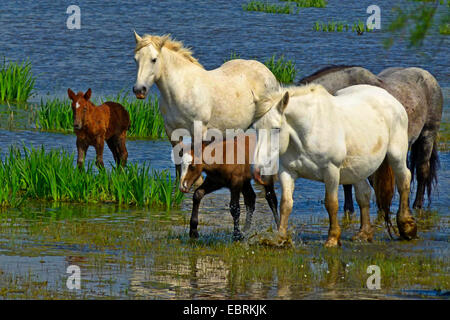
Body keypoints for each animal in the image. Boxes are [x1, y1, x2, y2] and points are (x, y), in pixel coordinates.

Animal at [132, 31, 278, 149]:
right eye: (136, 59)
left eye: (154, 59)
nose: (139, 90)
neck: (181, 90)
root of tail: (268, 72)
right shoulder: (171, 131)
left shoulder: (198, 131)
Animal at [253, 84, 418, 246]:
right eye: (255, 129)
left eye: (276, 128)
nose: (257, 170)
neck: (309, 131)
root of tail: (389, 96)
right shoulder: (287, 172)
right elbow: (286, 204)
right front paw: (280, 237)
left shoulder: (331, 171)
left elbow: (331, 203)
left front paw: (332, 238)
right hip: (358, 168)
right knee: (364, 194)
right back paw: (364, 233)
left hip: (396, 155)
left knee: (404, 180)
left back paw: (407, 227)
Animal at [298, 66, 442, 235]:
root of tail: (427, 76)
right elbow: (348, 183)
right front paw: (349, 209)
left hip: (427, 135)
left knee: (422, 171)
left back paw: (417, 204)